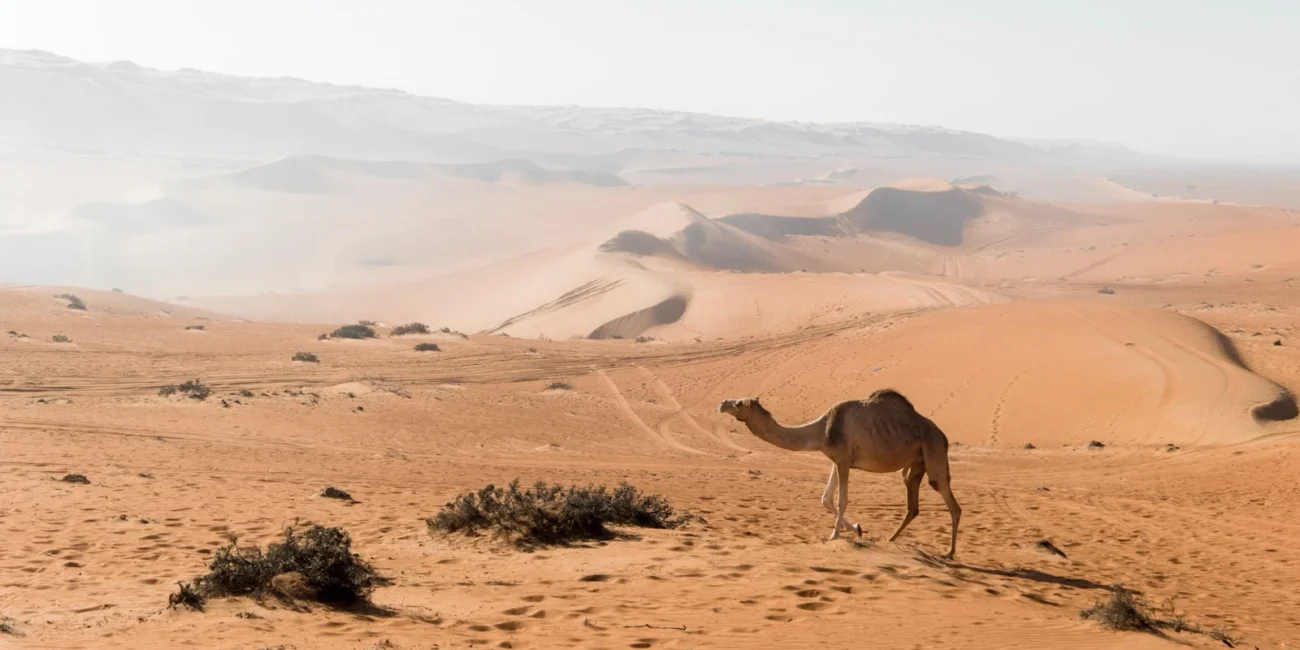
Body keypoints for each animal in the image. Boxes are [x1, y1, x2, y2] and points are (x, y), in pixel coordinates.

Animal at [718, 389, 961, 558]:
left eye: (738, 403)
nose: (722, 403)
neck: (822, 430)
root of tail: (944, 436)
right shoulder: (836, 460)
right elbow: (825, 498)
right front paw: (857, 529)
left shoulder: (843, 460)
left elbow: (842, 499)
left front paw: (834, 535)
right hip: (916, 463)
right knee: (912, 503)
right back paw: (891, 539)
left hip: (933, 450)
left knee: (949, 500)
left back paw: (949, 553)